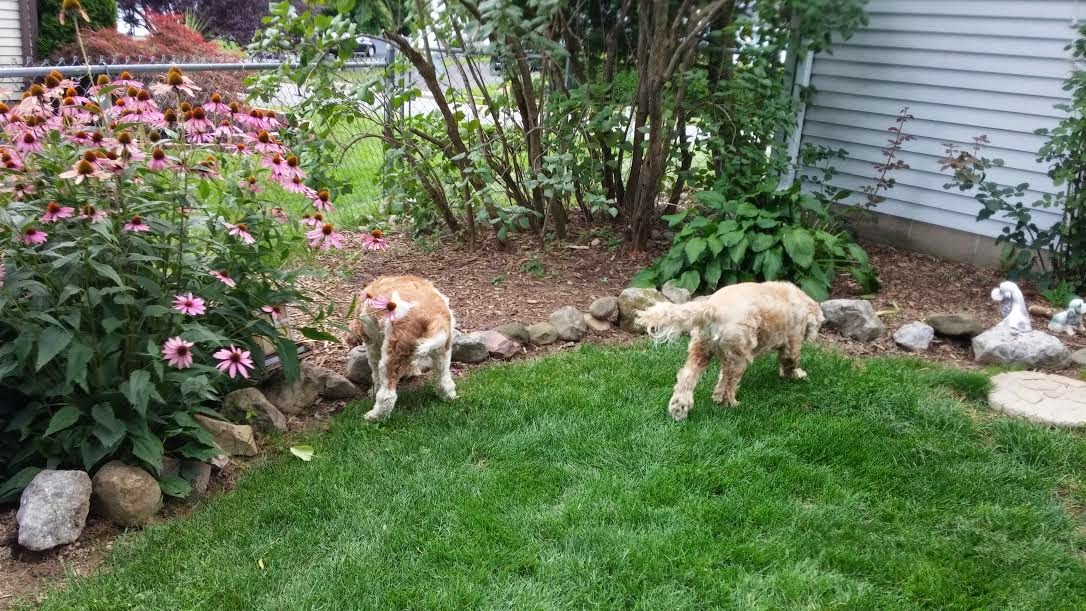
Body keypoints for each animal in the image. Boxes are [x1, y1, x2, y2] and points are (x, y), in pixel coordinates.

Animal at [347, 275, 457, 422]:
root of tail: (434, 317)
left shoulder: (373, 345)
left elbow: (375, 373)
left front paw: (373, 391)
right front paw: (413, 370)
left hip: (391, 357)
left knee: (387, 396)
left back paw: (374, 416)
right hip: (443, 351)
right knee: (444, 380)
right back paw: (448, 397)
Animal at [635, 281, 824, 422]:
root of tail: (712, 308)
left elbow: (720, 377)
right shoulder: (792, 342)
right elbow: (790, 362)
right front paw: (797, 375)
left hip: (702, 350)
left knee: (687, 379)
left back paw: (679, 409)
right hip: (739, 357)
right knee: (730, 384)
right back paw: (732, 404)